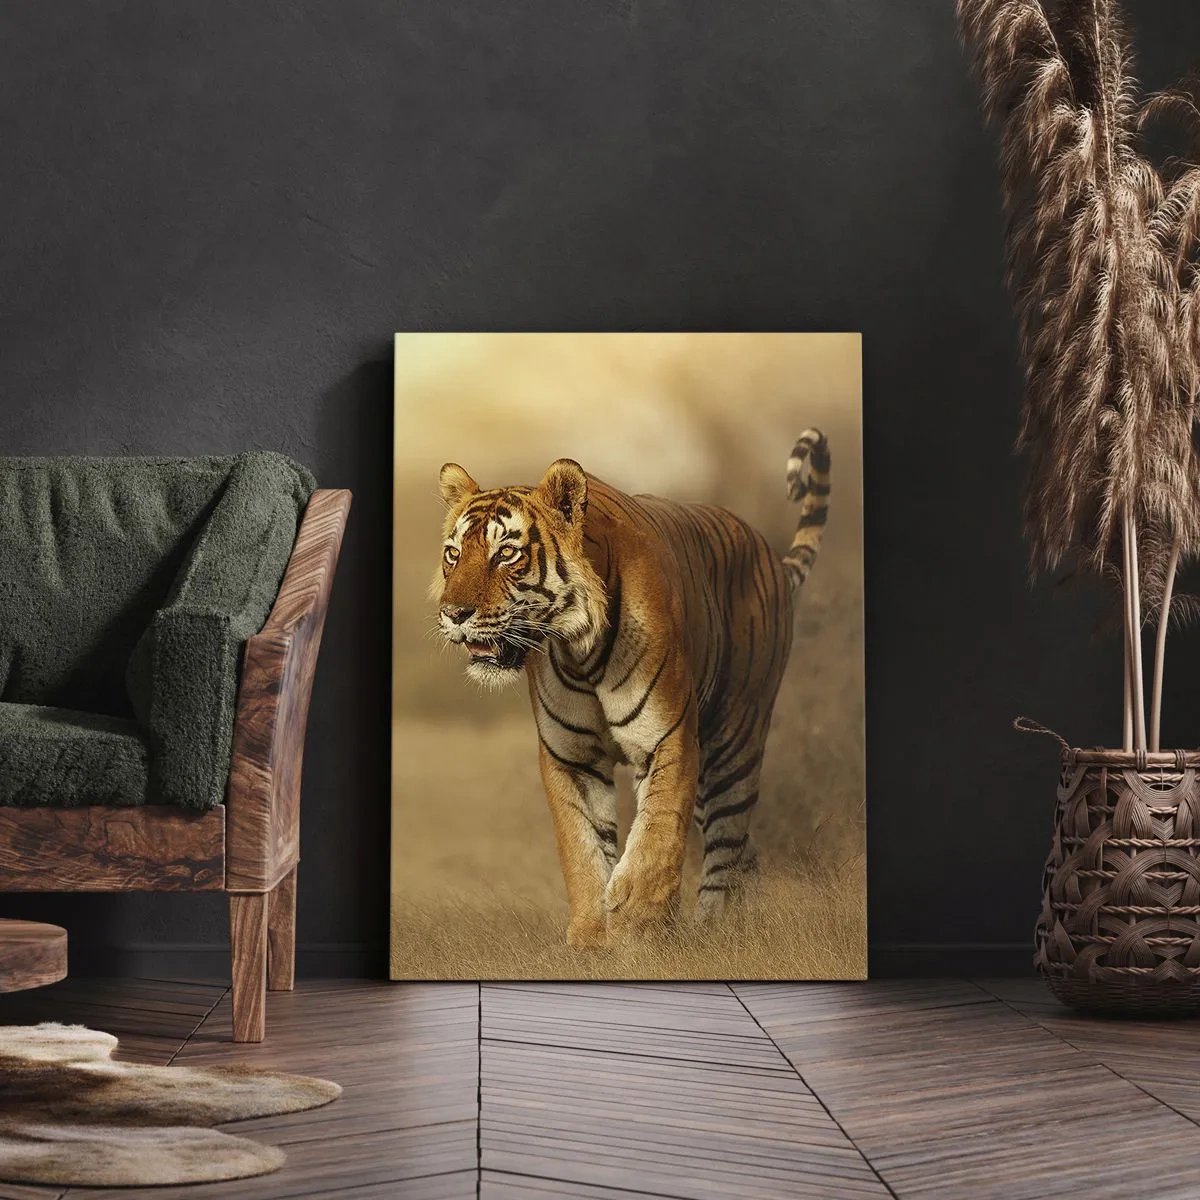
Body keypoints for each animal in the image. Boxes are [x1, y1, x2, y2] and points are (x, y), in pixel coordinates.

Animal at [432, 430, 830, 947]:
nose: (453, 613)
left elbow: (656, 833)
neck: (578, 650)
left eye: (506, 553)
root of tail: (770, 555)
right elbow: (581, 848)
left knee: (727, 844)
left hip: (734, 743)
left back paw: (714, 929)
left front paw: (637, 923)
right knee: (745, 850)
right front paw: (590, 937)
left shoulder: (668, 738)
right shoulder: (572, 757)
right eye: (453, 554)